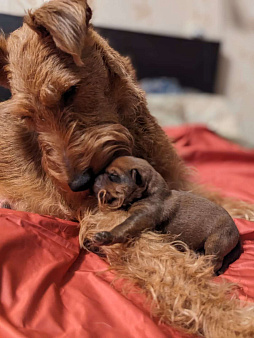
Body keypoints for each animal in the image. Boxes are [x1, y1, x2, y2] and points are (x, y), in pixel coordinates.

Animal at [92, 156, 241, 274]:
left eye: (112, 176)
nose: (95, 177)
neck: (150, 193)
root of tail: (237, 234)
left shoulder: (141, 217)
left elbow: (123, 227)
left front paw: (106, 236)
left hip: (216, 241)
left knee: (215, 262)